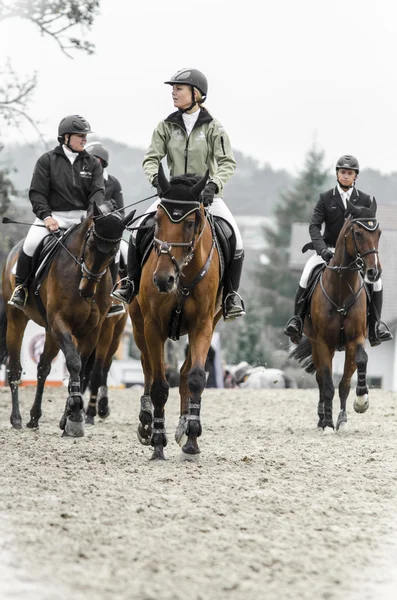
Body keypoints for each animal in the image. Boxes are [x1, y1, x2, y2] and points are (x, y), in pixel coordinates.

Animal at [0, 205, 135, 436]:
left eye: (115, 250)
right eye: (90, 243)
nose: (87, 290)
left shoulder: (94, 330)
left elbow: (82, 370)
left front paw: (71, 417)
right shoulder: (60, 323)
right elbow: (74, 362)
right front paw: (75, 416)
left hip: (55, 332)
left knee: (43, 367)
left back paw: (34, 418)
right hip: (17, 318)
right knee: (14, 366)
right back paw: (16, 419)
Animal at [130, 169, 223, 460]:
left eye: (191, 223)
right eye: (157, 221)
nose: (163, 279)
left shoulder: (203, 325)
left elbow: (195, 377)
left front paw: (192, 437)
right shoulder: (152, 327)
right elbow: (159, 386)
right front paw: (158, 443)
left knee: (183, 372)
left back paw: (183, 426)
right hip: (137, 324)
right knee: (147, 368)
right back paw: (146, 423)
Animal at [290, 200, 380, 432]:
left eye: (378, 233)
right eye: (358, 234)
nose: (374, 272)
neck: (342, 289)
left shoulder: (355, 339)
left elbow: (353, 373)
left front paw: (360, 403)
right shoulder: (323, 342)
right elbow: (328, 384)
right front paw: (328, 423)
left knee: (341, 382)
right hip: (316, 344)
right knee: (321, 380)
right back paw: (323, 418)